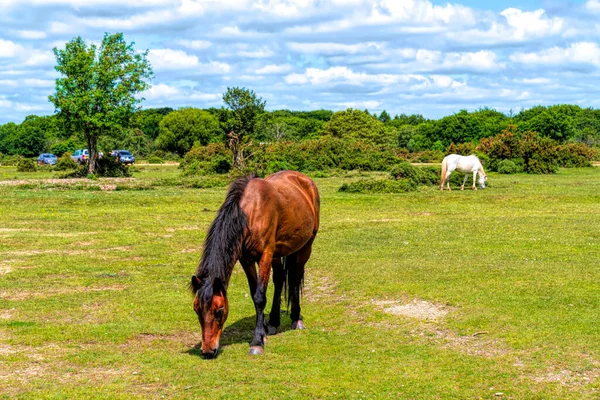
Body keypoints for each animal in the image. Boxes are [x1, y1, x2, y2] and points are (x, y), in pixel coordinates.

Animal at [191, 170, 322, 358]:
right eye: (196, 309)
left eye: (220, 310)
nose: (208, 351)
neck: (250, 214)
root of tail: (303, 179)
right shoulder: (246, 259)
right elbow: (254, 294)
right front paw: (264, 331)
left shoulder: (265, 256)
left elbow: (260, 296)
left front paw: (257, 341)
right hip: (278, 253)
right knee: (280, 279)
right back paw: (274, 321)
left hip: (306, 245)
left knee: (295, 277)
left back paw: (296, 319)